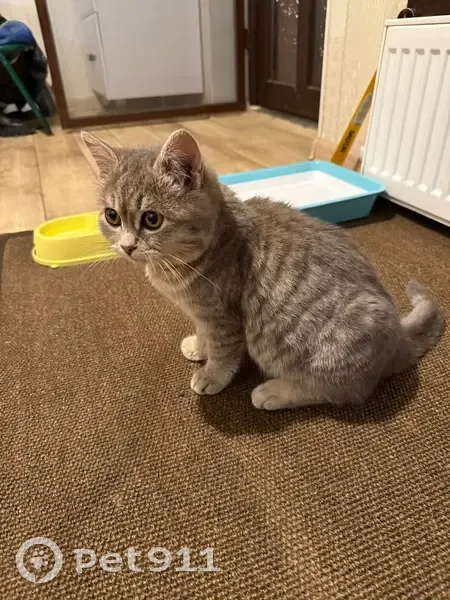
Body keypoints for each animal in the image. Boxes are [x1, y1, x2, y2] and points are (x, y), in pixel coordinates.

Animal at [81, 129, 444, 410]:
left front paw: (211, 374)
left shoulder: (224, 318)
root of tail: (398, 338)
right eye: (112, 216)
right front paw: (199, 346)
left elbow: (224, 352)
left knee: (342, 391)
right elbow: (204, 334)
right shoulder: (203, 315)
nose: (127, 246)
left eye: (152, 219)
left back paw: (274, 392)